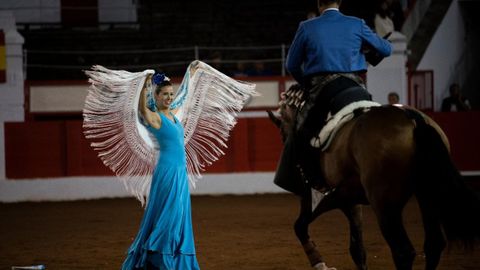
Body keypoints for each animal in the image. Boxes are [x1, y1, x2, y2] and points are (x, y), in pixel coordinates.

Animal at [266, 85, 480, 270]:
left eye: (282, 130)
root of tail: (413, 118)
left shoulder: (321, 199)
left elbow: (300, 226)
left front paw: (320, 264)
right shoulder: (350, 202)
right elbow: (357, 250)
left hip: (385, 206)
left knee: (403, 251)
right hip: (428, 195)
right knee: (433, 244)